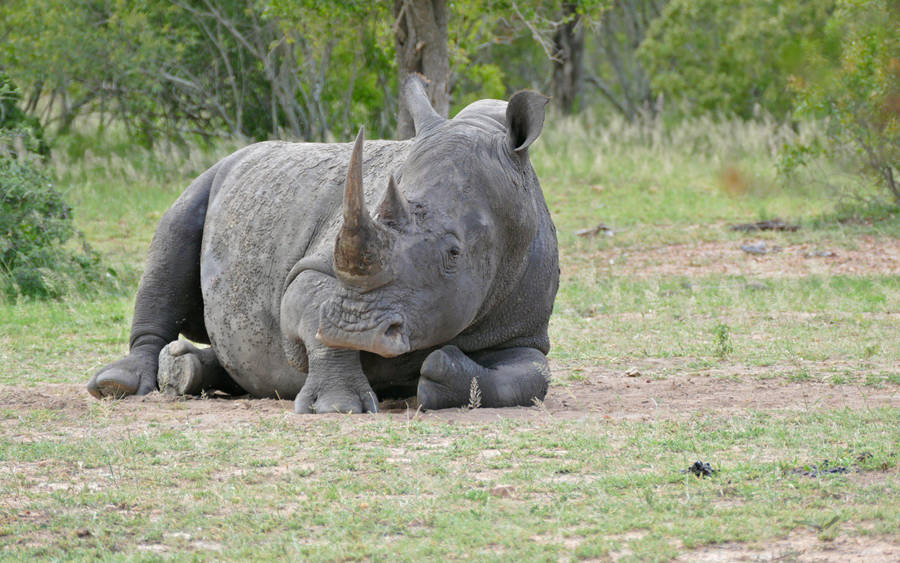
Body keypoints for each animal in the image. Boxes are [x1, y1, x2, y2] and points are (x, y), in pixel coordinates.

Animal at [87, 76, 559, 413]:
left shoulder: (523, 330)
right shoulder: (315, 267)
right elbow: (309, 302)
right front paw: (337, 407)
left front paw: (438, 372)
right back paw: (118, 385)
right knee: (175, 231)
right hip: (212, 175)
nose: (355, 329)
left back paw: (184, 372)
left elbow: (533, 377)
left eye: (454, 254)